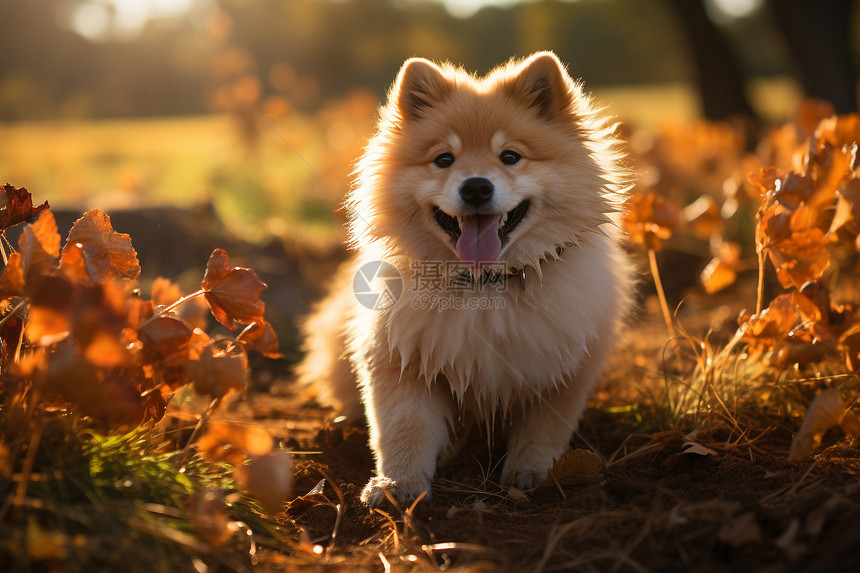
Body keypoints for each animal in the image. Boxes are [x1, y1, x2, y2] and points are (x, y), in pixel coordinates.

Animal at [298, 51, 632, 502]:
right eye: (444, 159)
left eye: (510, 156)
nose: (476, 187)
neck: (482, 283)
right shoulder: (401, 361)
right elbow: (403, 429)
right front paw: (398, 484)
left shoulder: (561, 370)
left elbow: (543, 430)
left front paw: (532, 473)